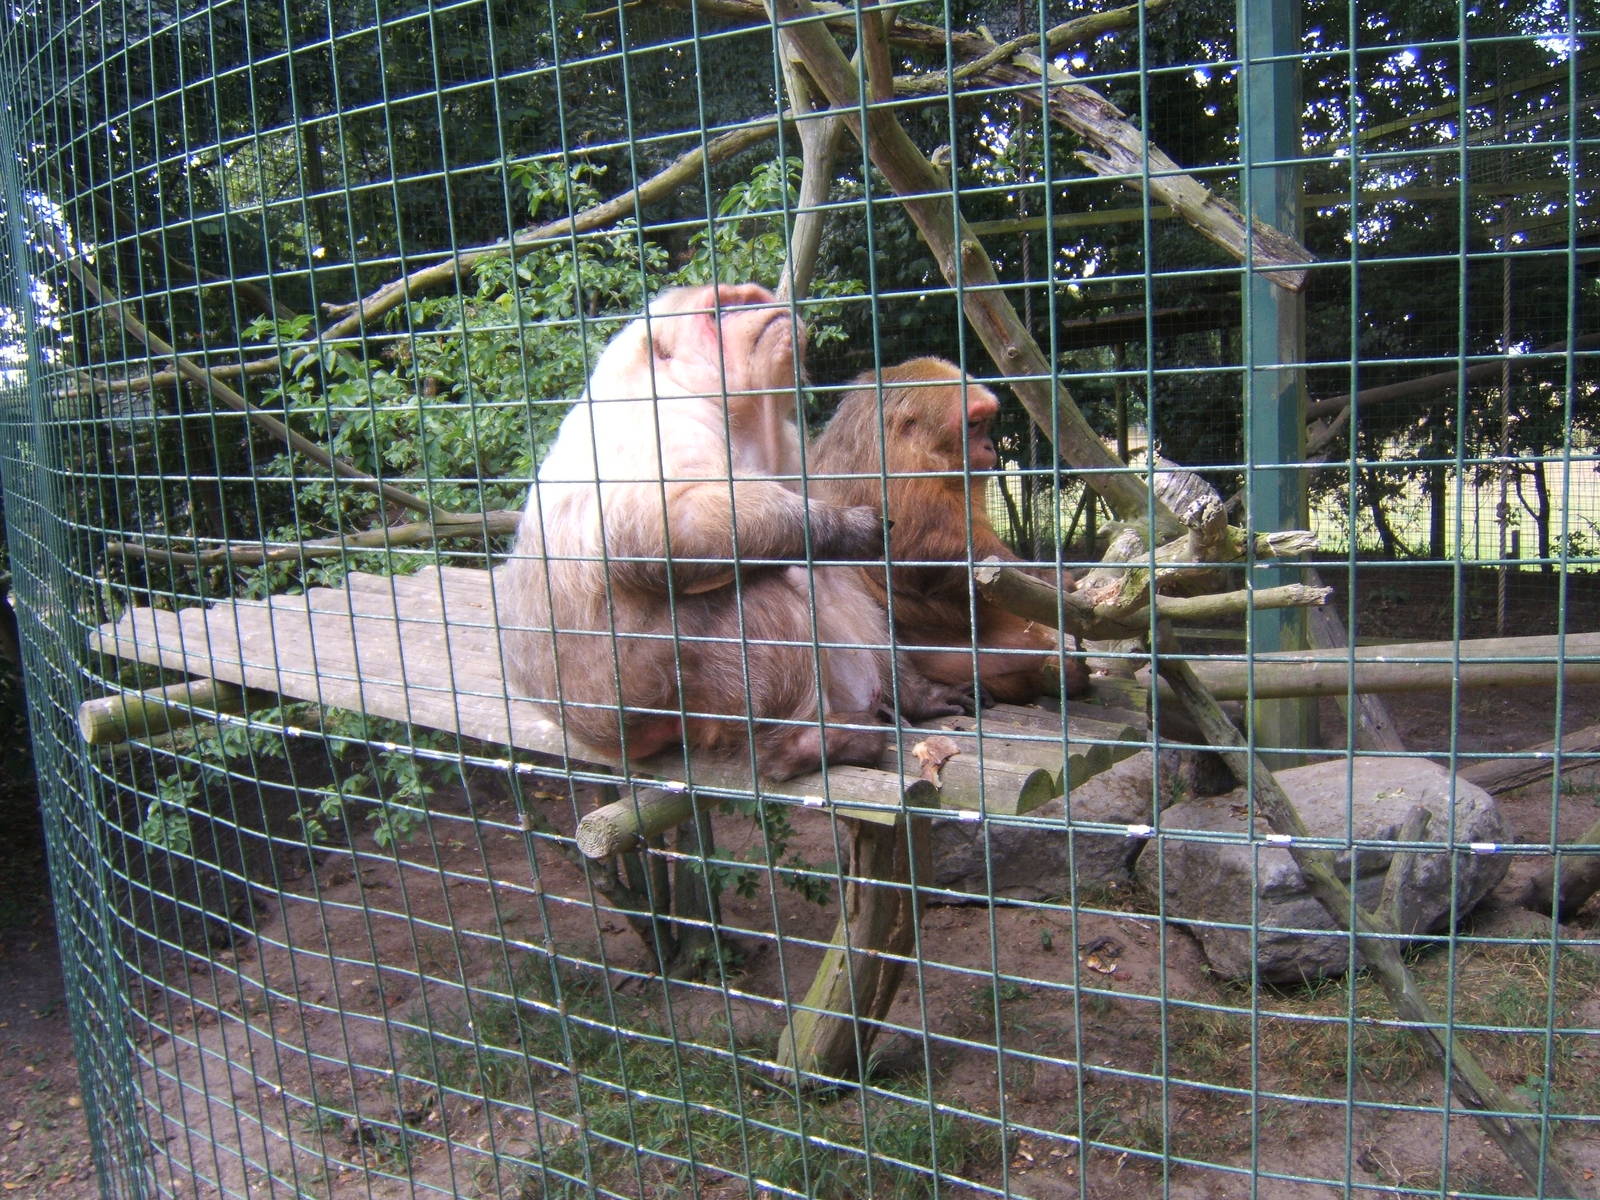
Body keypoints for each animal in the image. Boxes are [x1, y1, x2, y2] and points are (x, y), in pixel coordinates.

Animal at [502, 284, 967, 781]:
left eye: (751, 297)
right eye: (720, 309)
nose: (762, 306)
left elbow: (835, 574)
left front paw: (915, 692)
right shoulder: (658, 419)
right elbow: (658, 532)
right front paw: (842, 527)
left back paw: (904, 698)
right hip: (637, 691)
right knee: (748, 595)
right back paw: (801, 745)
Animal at [808, 356, 1091, 705]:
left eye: (986, 423)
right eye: (973, 424)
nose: (988, 446)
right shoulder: (899, 475)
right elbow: (914, 554)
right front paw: (1048, 579)